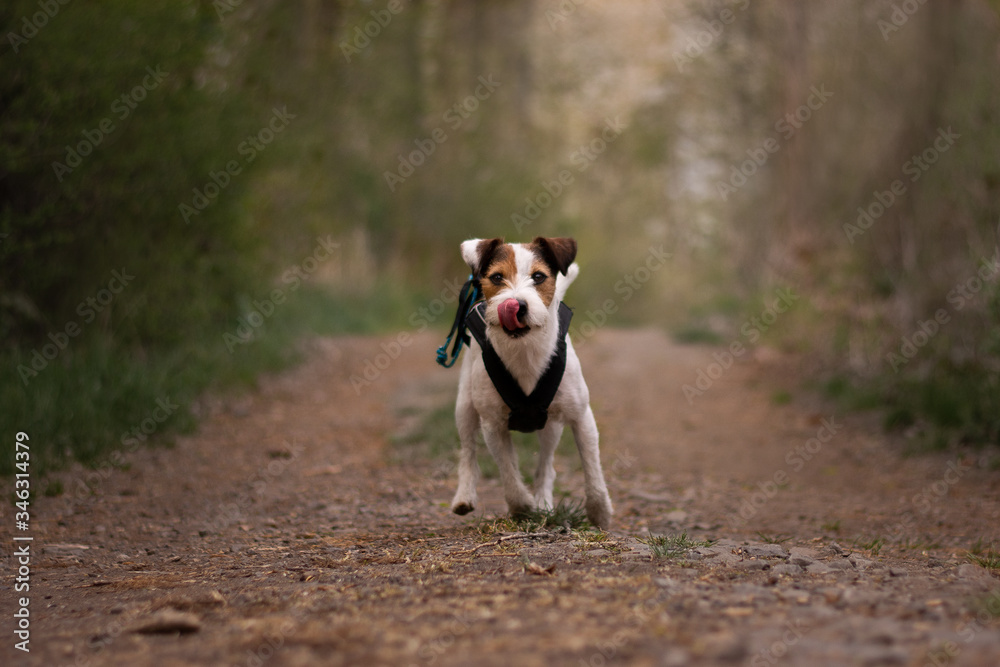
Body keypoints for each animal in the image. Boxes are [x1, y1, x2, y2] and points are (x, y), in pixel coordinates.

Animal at [450, 237, 612, 528]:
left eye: (538, 277)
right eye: (497, 277)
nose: (517, 305)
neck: (525, 351)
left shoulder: (581, 416)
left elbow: (592, 468)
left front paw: (599, 511)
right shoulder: (493, 424)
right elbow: (508, 471)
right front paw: (522, 506)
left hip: (552, 426)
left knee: (546, 465)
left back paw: (544, 501)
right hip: (465, 406)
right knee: (468, 451)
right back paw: (464, 496)